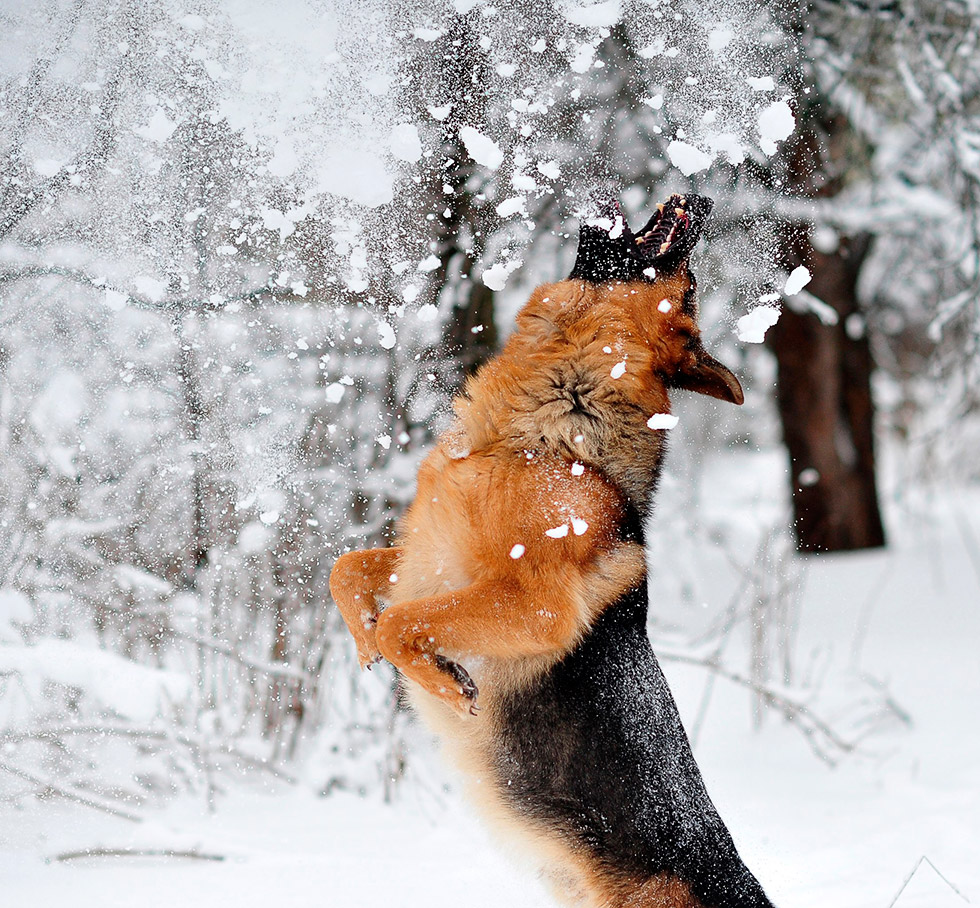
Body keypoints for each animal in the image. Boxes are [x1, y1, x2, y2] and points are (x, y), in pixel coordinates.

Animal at [334, 195, 776, 904]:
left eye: (690, 288)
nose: (703, 200)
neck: (547, 431)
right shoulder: (426, 558)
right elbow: (347, 571)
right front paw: (365, 642)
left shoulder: (535, 605)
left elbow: (404, 621)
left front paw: (442, 680)